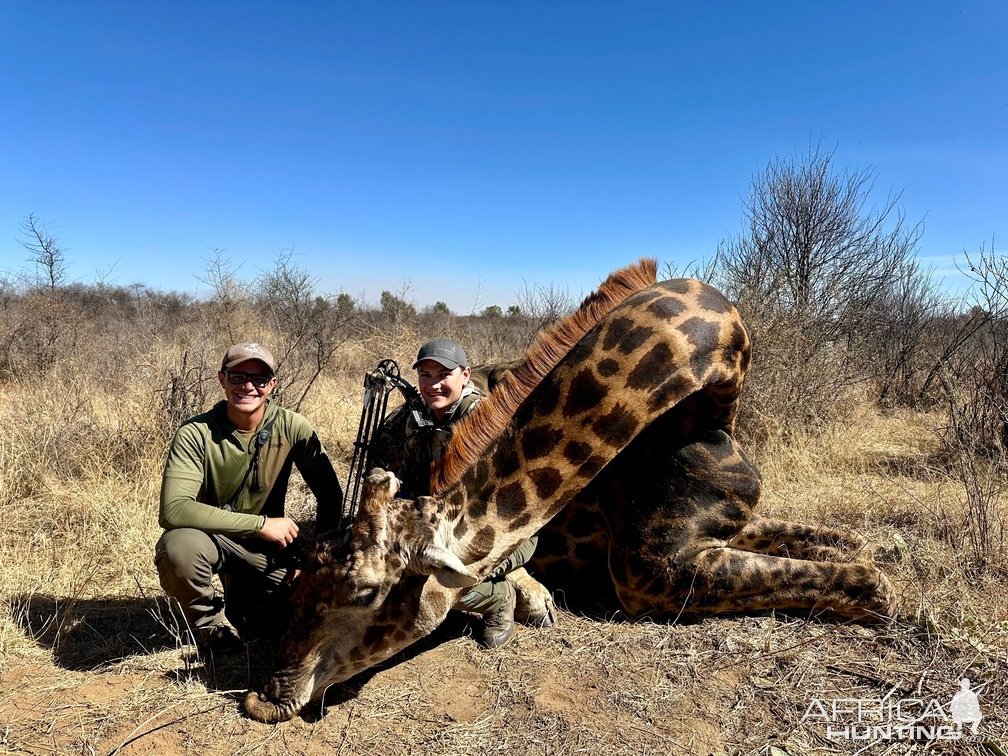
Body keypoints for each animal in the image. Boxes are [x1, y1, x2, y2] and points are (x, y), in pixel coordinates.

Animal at [245, 262, 899, 729]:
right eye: (304, 570)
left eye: (363, 591)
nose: (265, 695)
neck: (709, 405)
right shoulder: (656, 568)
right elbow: (860, 573)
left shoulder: (678, 558)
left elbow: (858, 567)